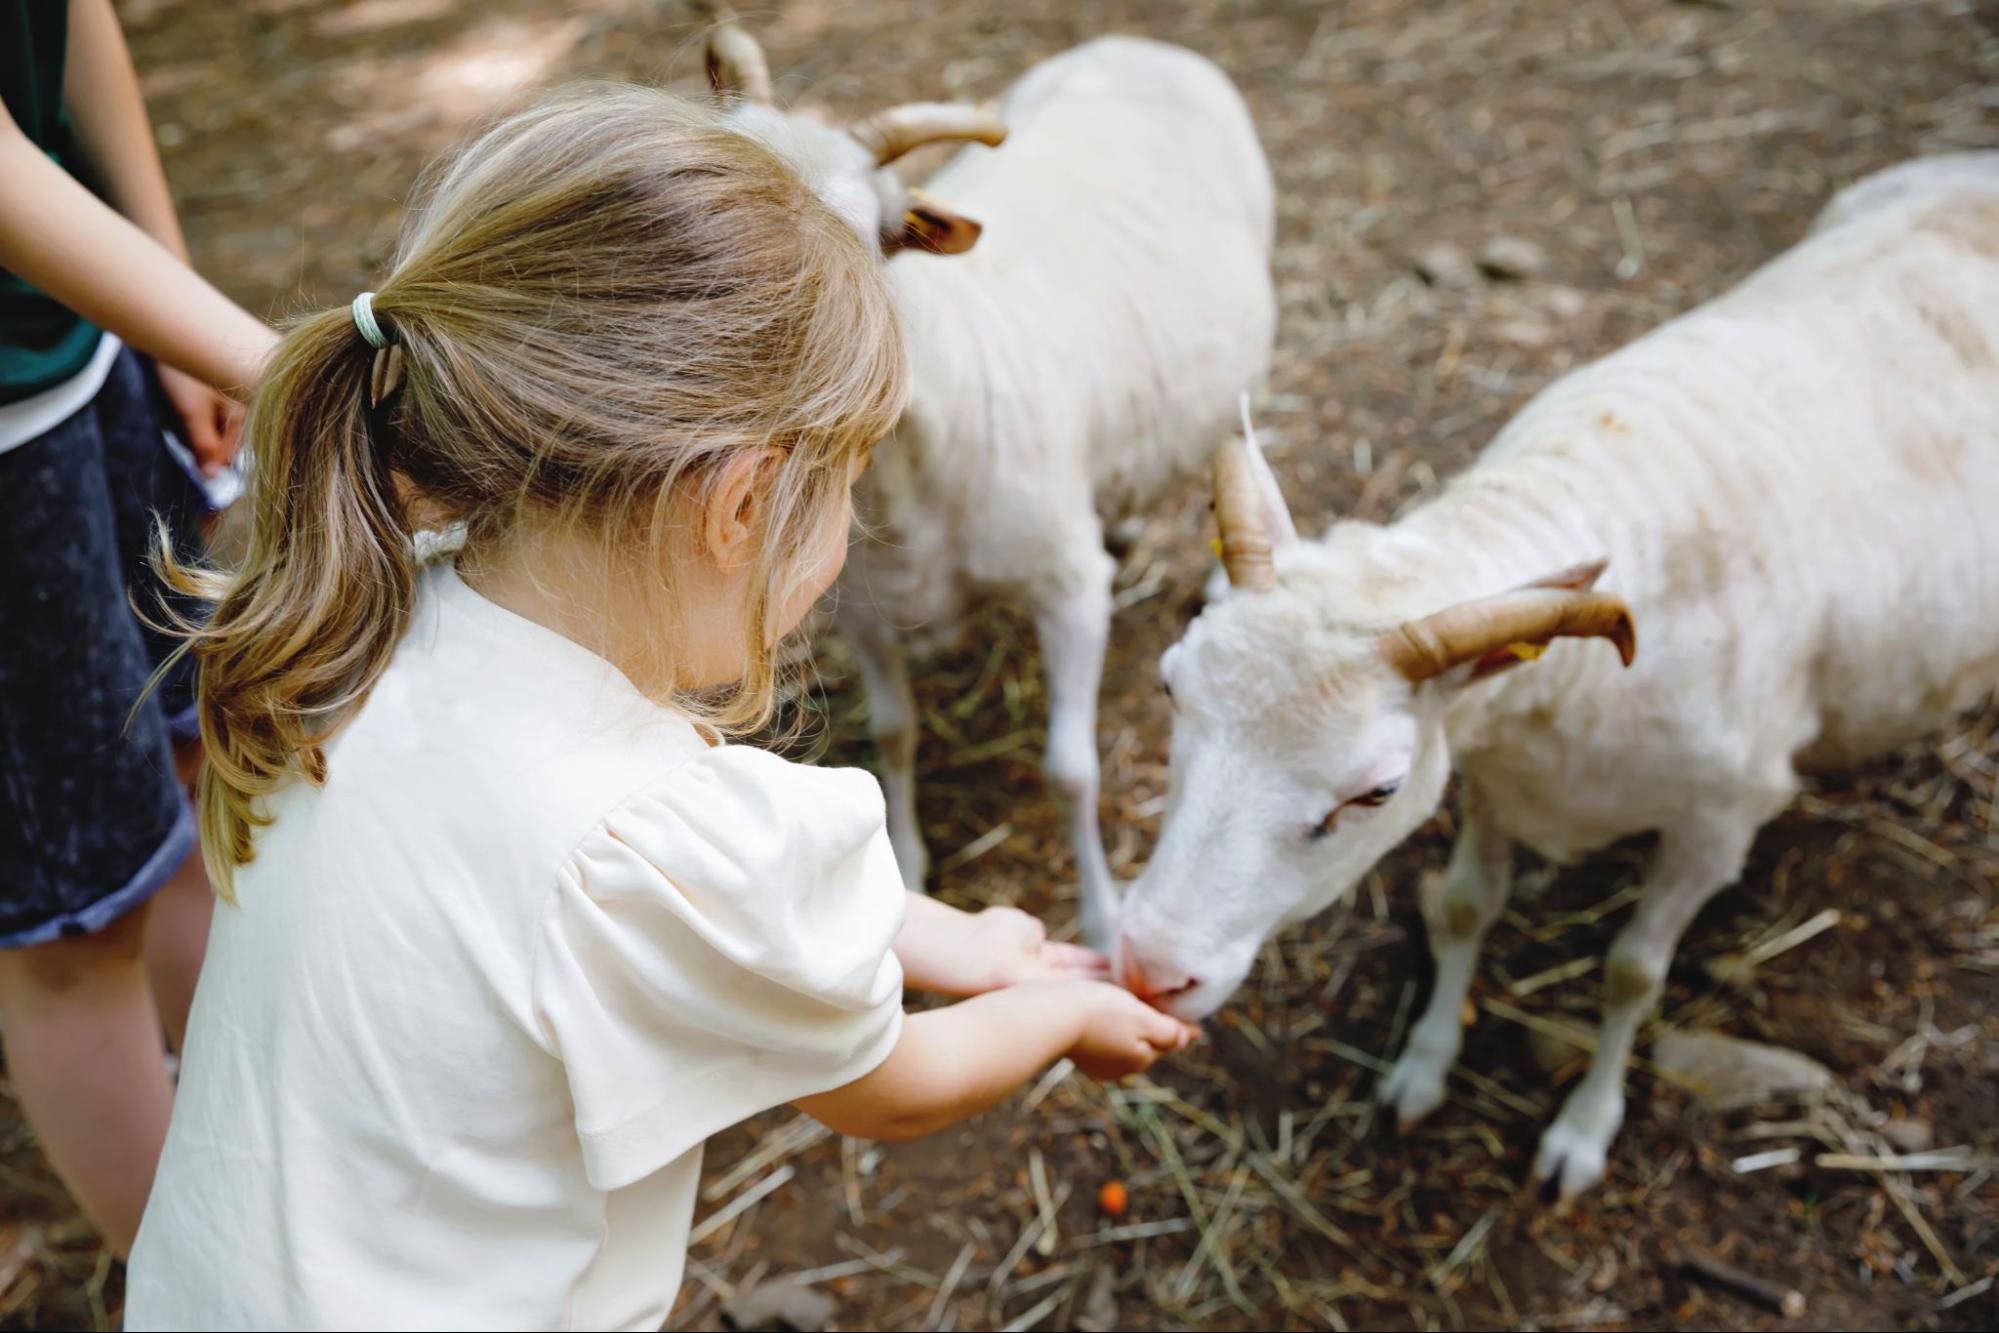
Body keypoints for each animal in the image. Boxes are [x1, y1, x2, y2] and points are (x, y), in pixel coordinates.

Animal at [707, 15, 1279, 943]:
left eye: (862, 241)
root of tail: (1133, 41)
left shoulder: (1067, 587)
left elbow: (1070, 770)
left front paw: (1100, 918)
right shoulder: (856, 606)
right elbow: (894, 735)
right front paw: (908, 869)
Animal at [1119, 150, 1991, 1207]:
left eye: (1377, 790)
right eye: (1170, 685)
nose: (1147, 967)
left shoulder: (1717, 822)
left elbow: (1631, 975)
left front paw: (1581, 1130)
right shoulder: (1495, 776)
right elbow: (1463, 908)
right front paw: (1421, 1067)